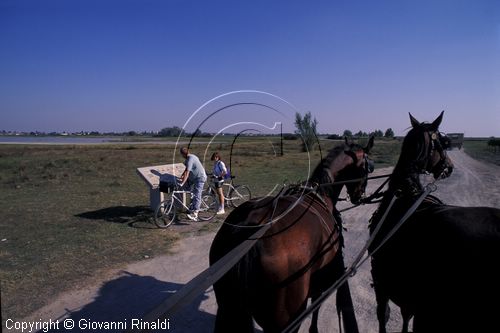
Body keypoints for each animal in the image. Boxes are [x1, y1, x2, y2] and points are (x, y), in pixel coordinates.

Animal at [208, 136, 376, 330]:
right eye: (368, 168)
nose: (359, 196)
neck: (320, 192)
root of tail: (248, 230)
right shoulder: (320, 278)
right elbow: (316, 305)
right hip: (288, 317)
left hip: (227, 307)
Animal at [368, 112, 500, 332]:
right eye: (443, 142)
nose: (450, 166)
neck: (407, 195)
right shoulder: (384, 285)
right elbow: (385, 316)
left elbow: (400, 316)